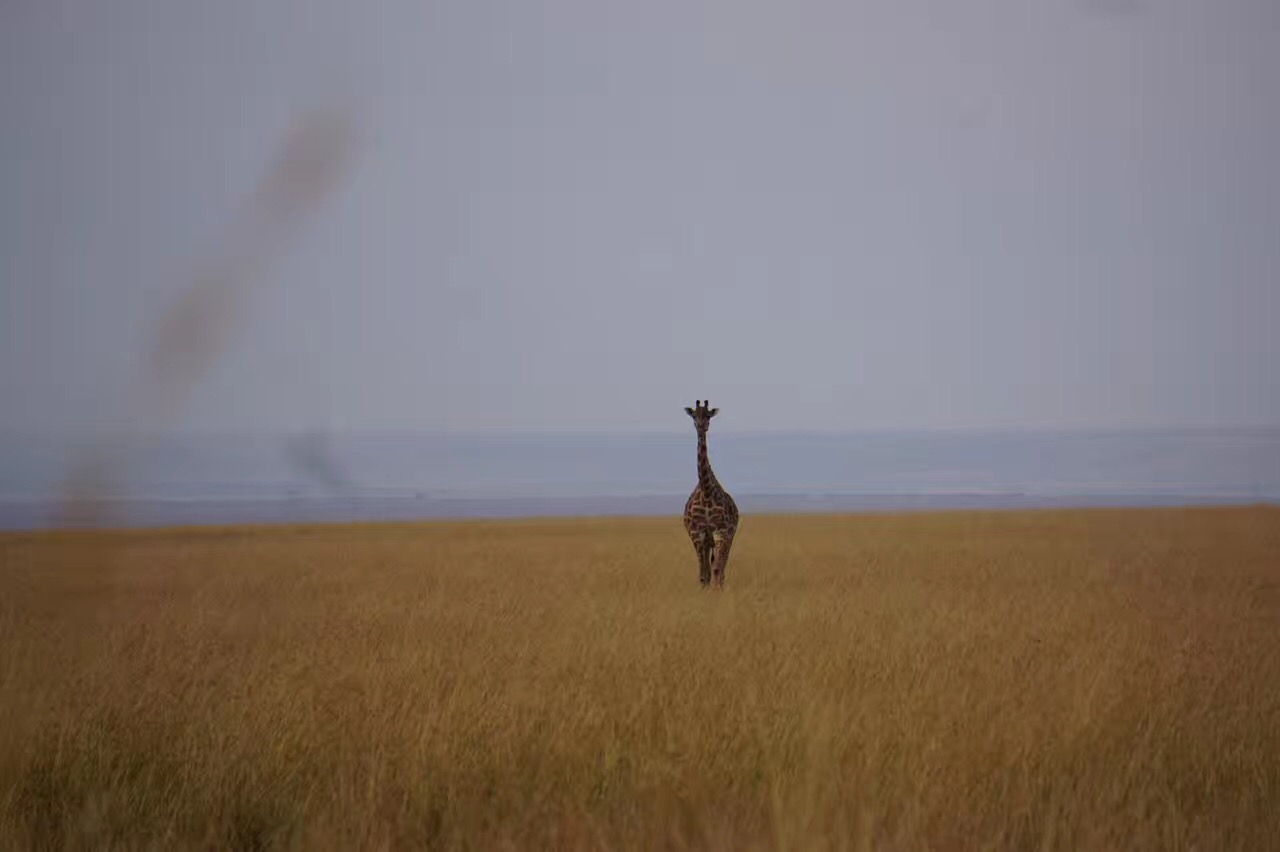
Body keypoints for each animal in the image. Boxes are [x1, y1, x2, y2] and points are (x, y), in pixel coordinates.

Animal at [680, 396, 742, 583]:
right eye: (694, 415)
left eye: (708, 415)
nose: (701, 426)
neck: (706, 491)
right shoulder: (697, 532)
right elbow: (703, 574)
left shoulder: (721, 531)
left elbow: (716, 570)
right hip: (708, 541)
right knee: (709, 569)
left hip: (728, 535)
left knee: (720, 569)